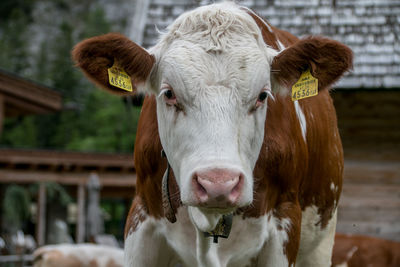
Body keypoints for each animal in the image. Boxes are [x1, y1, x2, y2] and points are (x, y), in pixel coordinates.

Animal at [72, 2, 354, 267]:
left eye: (263, 95)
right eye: (169, 93)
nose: (218, 183)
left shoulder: (284, 223)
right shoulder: (142, 220)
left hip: (320, 244)